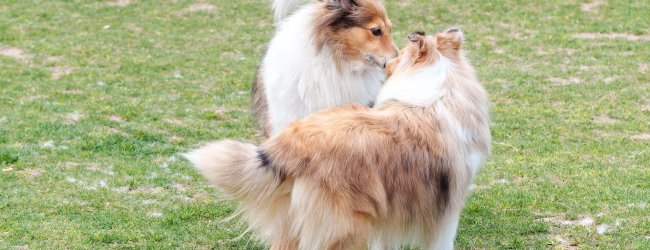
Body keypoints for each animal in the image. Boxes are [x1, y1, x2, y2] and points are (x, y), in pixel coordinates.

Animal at [185, 29, 488, 250]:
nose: (388, 61)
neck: (441, 91)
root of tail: (292, 143)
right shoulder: (446, 209)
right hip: (345, 228)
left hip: (292, 222)